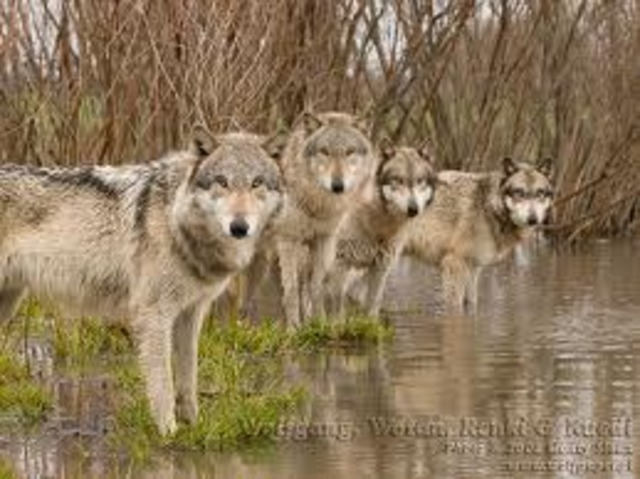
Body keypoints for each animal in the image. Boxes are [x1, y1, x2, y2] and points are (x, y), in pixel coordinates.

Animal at [0, 129, 283, 435]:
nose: (239, 227)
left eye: (256, 183)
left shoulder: (191, 313)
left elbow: (188, 379)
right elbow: (163, 385)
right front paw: (169, 432)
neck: (175, 219)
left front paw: (194, 426)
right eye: (222, 181)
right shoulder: (154, 315)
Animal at [243, 111, 377, 327]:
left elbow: (316, 289)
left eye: (349, 152)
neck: (318, 203)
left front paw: (319, 324)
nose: (337, 185)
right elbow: (291, 293)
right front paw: (294, 329)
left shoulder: (323, 241)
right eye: (325, 151)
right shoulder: (288, 242)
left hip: (260, 265)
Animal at [324, 141, 438, 318]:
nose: (413, 209)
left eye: (420, 181)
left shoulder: (380, 268)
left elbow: (372, 307)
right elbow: (336, 307)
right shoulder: (341, 263)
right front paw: (335, 325)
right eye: (398, 180)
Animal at [403, 157, 554, 313]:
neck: (487, 207)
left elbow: (472, 303)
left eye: (540, 193)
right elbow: (455, 308)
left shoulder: (473, 269)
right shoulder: (454, 265)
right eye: (519, 193)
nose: (533, 219)